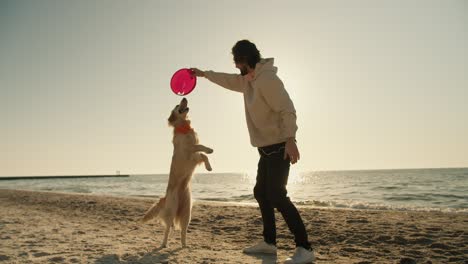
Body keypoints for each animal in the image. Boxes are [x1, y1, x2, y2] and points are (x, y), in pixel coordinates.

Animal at [142, 96, 213, 248]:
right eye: (176, 105)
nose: (184, 97)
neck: (184, 127)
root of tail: (165, 197)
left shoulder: (194, 156)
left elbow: (204, 155)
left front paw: (209, 167)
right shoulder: (188, 149)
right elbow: (200, 146)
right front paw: (209, 149)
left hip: (187, 213)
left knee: (183, 230)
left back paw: (185, 245)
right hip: (171, 210)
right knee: (167, 229)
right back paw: (164, 244)